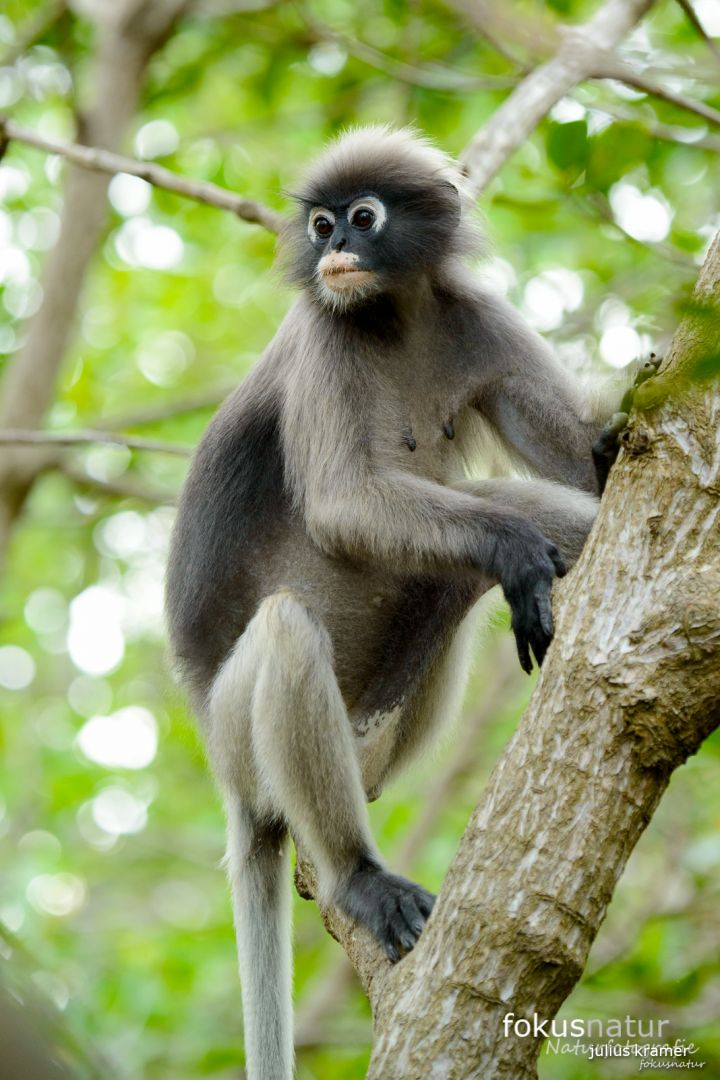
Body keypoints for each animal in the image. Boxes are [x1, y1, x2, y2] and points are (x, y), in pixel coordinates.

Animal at [166, 126, 634, 1080]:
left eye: (363, 217)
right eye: (320, 223)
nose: (333, 251)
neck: (393, 317)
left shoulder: (475, 317)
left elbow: (577, 470)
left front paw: (608, 452)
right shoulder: (323, 336)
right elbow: (346, 503)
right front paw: (520, 548)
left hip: (374, 732)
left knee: (457, 573)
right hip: (236, 734)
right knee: (289, 627)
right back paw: (358, 876)